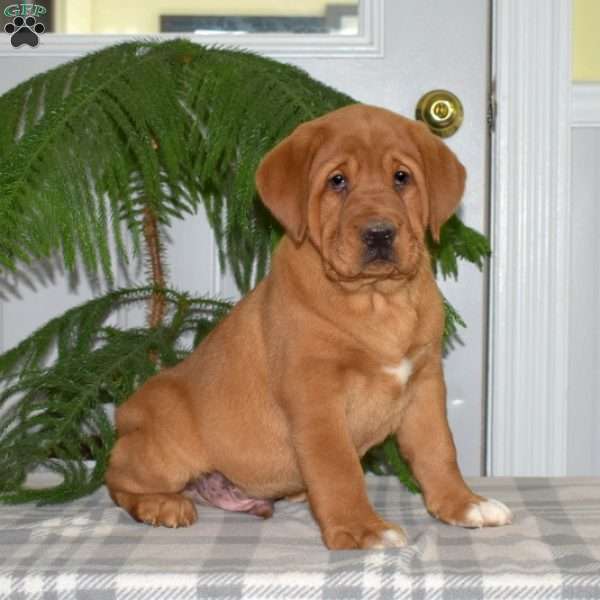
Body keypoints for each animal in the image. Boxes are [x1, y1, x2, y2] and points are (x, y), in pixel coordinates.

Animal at [106, 104, 510, 548]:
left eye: (401, 177)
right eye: (337, 181)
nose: (380, 233)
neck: (377, 301)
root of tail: (128, 413)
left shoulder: (424, 383)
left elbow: (439, 450)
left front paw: (463, 504)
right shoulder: (315, 396)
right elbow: (338, 468)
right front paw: (361, 528)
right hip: (165, 446)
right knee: (116, 475)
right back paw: (161, 504)